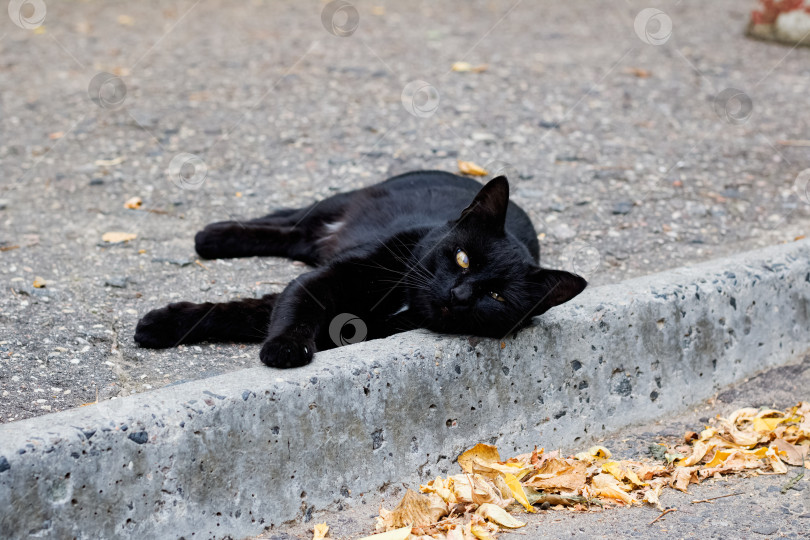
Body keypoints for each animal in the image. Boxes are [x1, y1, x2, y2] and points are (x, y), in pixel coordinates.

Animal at [136, 171, 584, 370]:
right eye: (462, 259)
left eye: (496, 296)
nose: (458, 295)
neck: (403, 301)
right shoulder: (324, 280)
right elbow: (288, 307)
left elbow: (243, 312)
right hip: (337, 204)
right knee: (290, 220)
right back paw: (211, 237)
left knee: (296, 236)